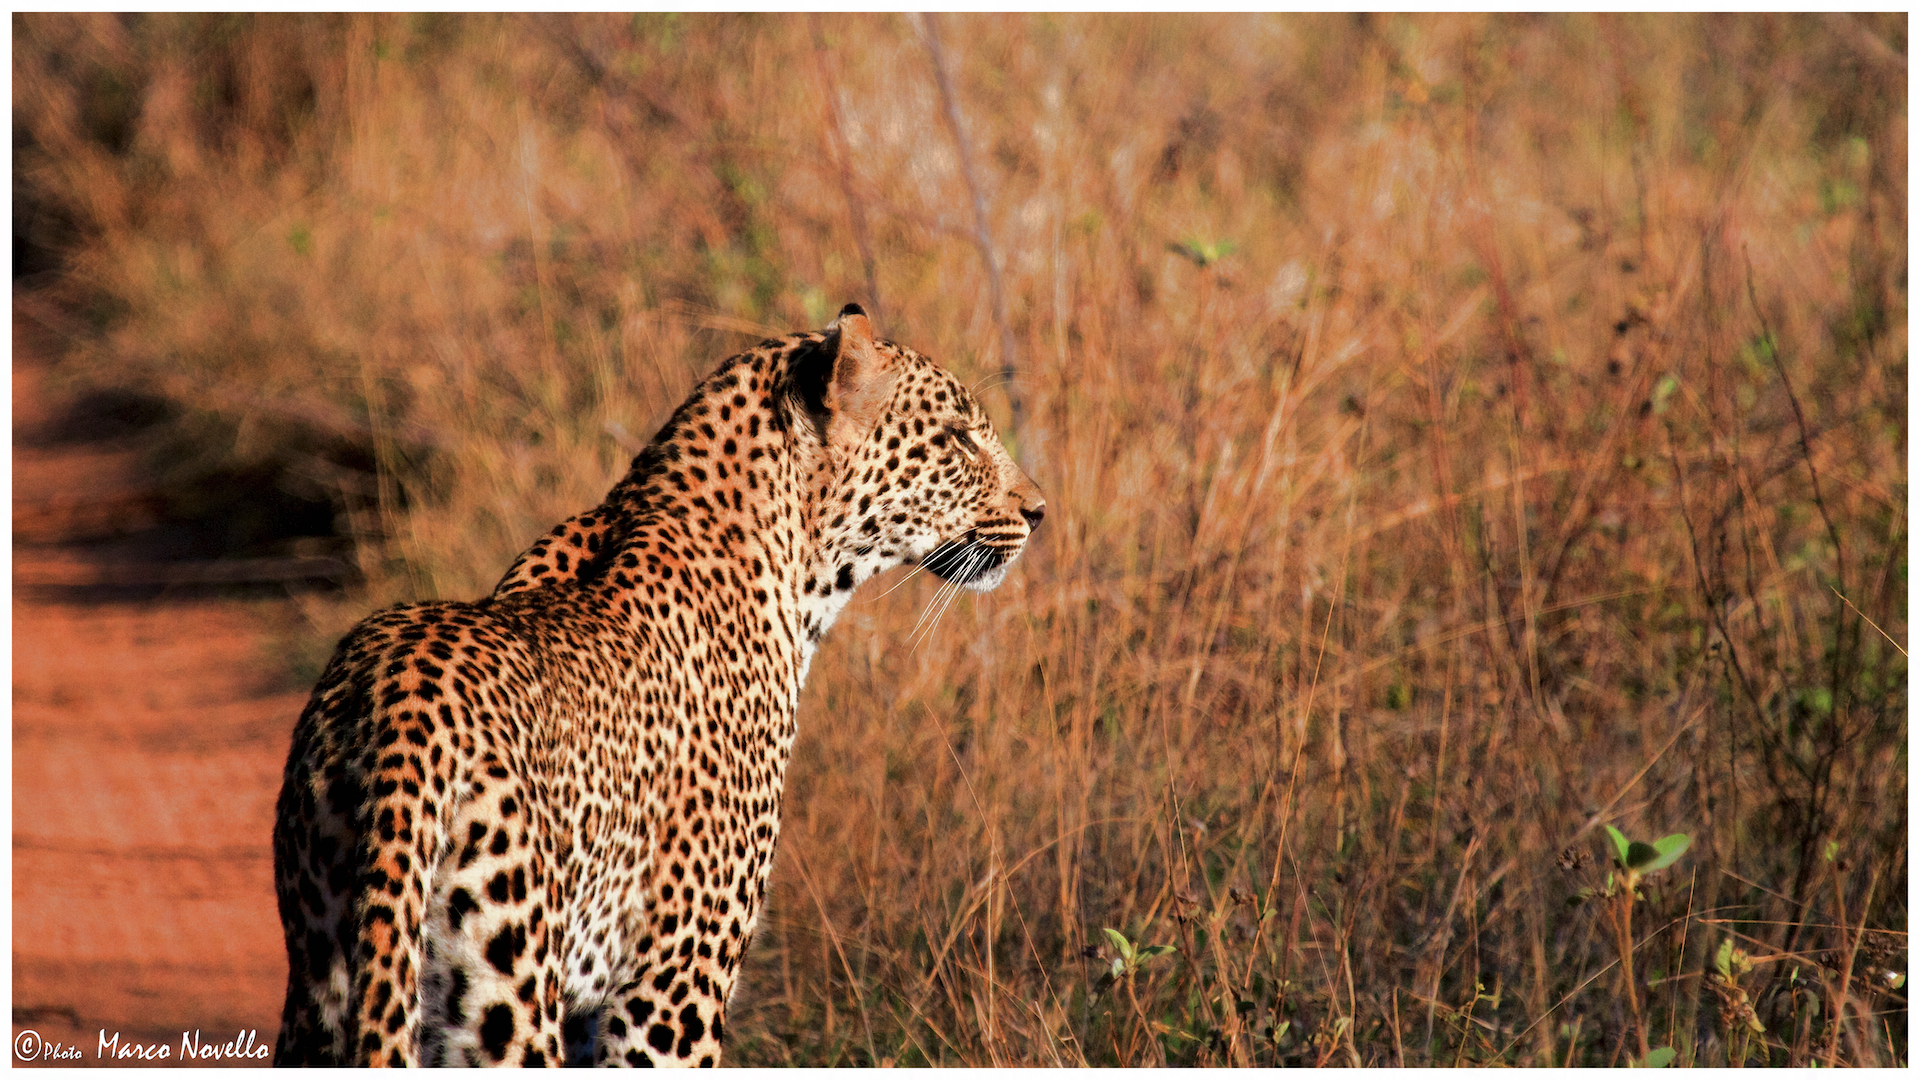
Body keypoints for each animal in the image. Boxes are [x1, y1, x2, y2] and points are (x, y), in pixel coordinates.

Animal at [271, 304, 1045, 1066]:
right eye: (957, 438)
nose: (1038, 511)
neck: (796, 568)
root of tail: (398, 707)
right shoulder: (672, 981)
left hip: (321, 982)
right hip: (505, 998)